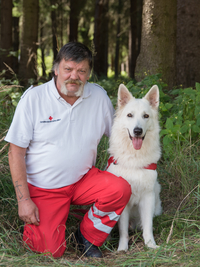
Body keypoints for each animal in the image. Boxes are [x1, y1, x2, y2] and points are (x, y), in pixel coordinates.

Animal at [107, 85, 162, 252]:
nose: (137, 131)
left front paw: (150, 245)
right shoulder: (124, 203)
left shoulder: (148, 197)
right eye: (129, 115)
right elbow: (123, 229)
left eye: (146, 116)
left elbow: (148, 226)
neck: (134, 159)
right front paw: (122, 248)